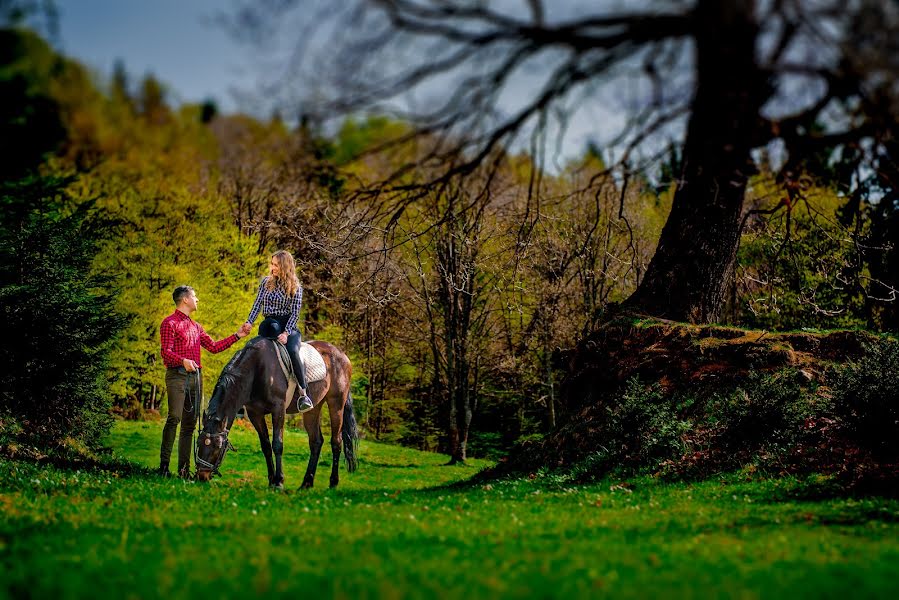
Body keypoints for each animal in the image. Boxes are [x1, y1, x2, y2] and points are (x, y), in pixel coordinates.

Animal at [194, 336, 358, 490]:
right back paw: (306, 483)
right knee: (316, 442)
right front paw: (272, 480)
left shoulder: (278, 410)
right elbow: (266, 446)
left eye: (217, 445)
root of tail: (341, 354)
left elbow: (277, 444)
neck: (255, 370)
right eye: (198, 442)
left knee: (336, 441)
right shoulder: (255, 414)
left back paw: (333, 482)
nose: (202, 476)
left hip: (336, 404)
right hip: (312, 409)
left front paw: (279, 481)